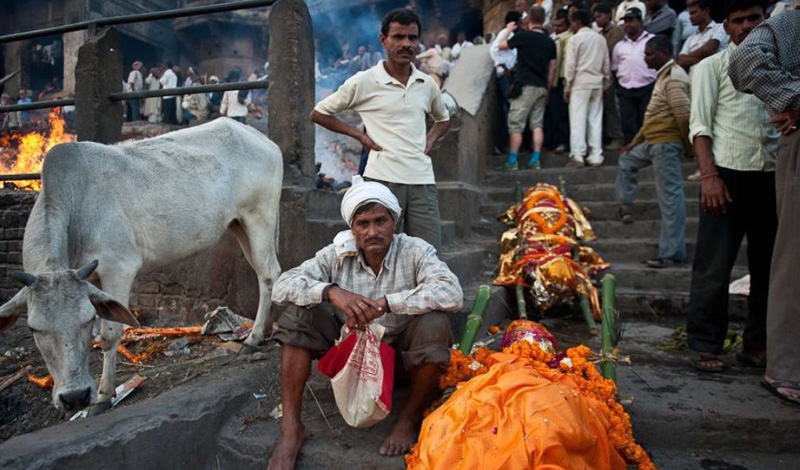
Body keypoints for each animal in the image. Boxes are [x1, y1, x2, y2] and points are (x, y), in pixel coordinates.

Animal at [0, 119, 284, 414]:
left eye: (86, 319)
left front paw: (103, 395)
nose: (75, 397)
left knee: (268, 275)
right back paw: (263, 330)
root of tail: (261, 138)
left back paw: (253, 338)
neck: (76, 206)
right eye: (34, 328)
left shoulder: (118, 268)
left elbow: (110, 334)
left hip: (259, 218)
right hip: (239, 226)